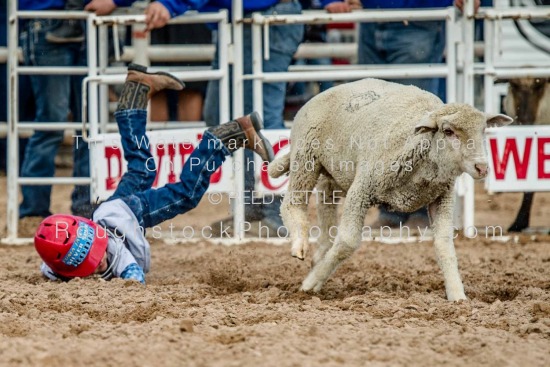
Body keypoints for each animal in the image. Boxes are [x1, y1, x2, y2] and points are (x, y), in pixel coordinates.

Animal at [270, 78, 516, 302]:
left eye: (483, 130)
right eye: (448, 131)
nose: (482, 167)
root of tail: (321, 94)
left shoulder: (442, 198)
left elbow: (444, 246)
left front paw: (457, 295)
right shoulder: (362, 189)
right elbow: (348, 242)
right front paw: (310, 284)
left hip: (336, 172)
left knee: (325, 203)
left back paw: (320, 252)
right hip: (306, 158)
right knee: (292, 203)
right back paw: (300, 244)